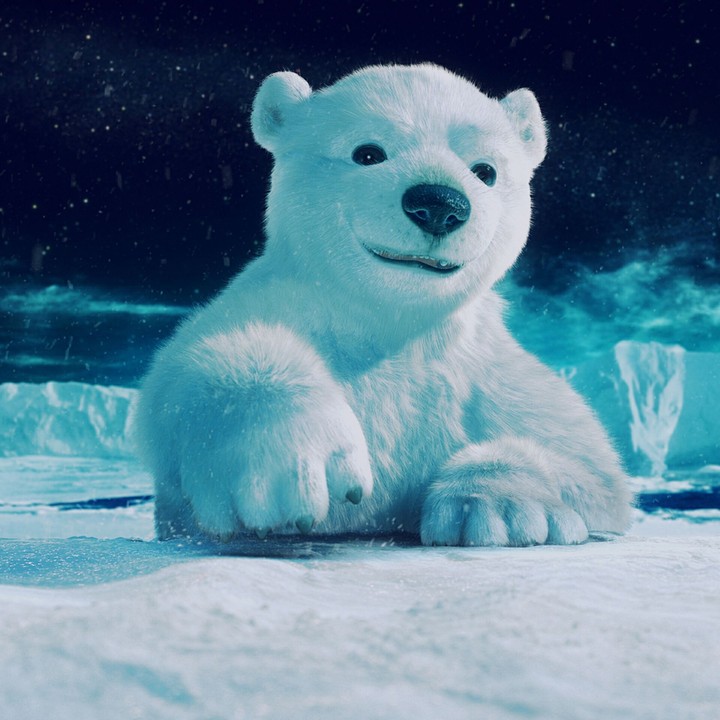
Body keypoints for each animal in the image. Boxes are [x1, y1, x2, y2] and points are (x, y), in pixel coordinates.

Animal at [134, 63, 632, 546]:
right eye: (368, 152)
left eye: (485, 170)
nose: (438, 204)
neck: (393, 325)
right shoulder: (279, 303)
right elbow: (181, 376)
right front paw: (293, 462)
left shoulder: (486, 371)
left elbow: (590, 466)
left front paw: (498, 509)